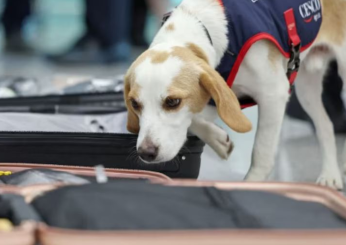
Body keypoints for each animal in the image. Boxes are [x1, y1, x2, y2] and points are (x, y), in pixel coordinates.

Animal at [124, 0, 346, 189]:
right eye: (134, 104)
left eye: (173, 102)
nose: (146, 153)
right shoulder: (216, 94)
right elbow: (195, 119)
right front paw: (217, 139)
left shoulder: (274, 94)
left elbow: (261, 153)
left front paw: (251, 185)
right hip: (307, 86)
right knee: (325, 125)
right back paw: (330, 174)